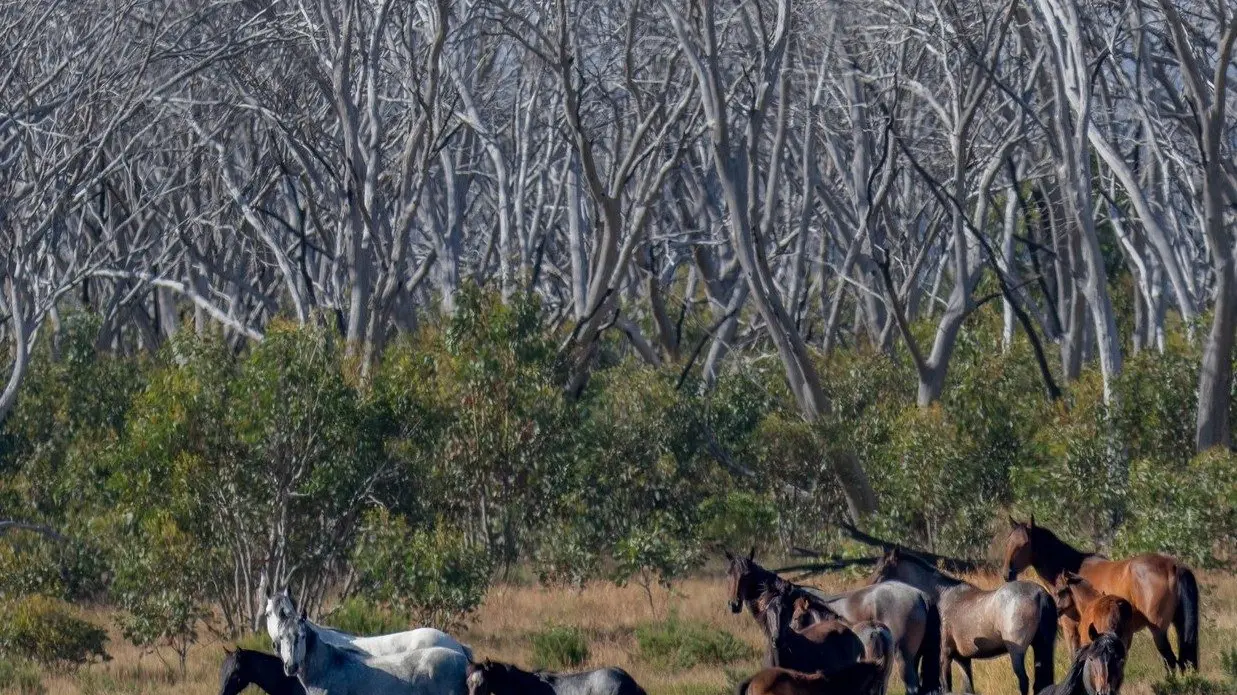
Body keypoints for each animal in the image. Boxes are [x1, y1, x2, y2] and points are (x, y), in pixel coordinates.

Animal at [871, 547, 1055, 695]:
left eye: (881, 571)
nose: (869, 589)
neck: (942, 597)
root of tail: (1040, 593)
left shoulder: (945, 656)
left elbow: (947, 687)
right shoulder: (963, 660)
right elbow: (968, 689)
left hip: (1017, 653)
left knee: (1024, 681)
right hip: (1041, 648)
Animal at [1002, 516, 1199, 673]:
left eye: (1024, 544)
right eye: (1007, 542)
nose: (1007, 574)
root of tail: (1174, 566)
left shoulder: (1071, 628)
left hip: (1158, 631)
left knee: (1171, 662)